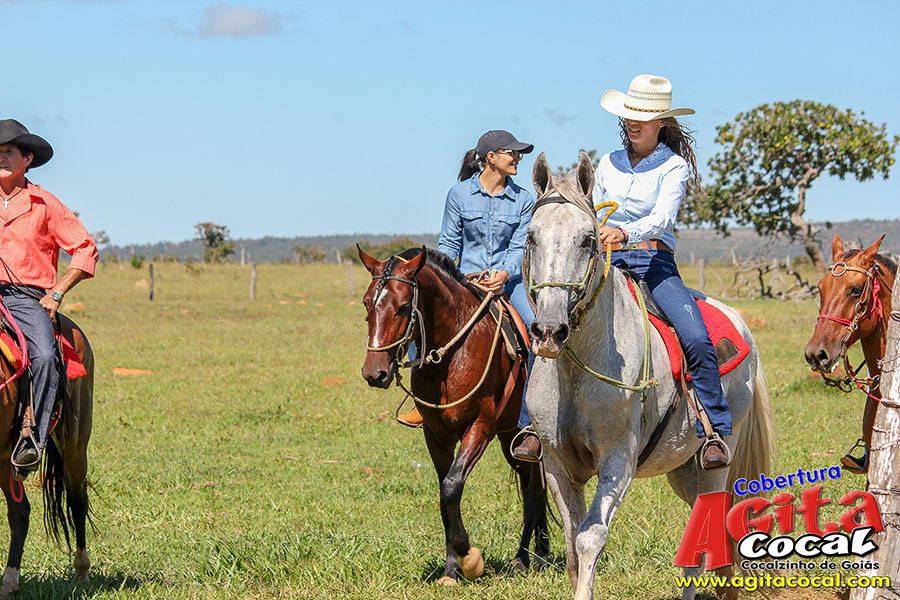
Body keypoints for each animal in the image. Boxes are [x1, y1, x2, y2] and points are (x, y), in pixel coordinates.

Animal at [358, 246, 549, 586]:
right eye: (367, 303)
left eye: (404, 306)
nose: (374, 373)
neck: (452, 355)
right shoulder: (436, 435)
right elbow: (446, 495)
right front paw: (451, 570)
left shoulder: (480, 427)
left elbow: (451, 488)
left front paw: (470, 559)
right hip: (509, 440)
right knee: (530, 487)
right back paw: (527, 557)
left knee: (536, 490)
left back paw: (534, 557)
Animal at [522, 152, 774, 600]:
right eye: (532, 236)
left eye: (588, 240)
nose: (550, 330)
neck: (577, 372)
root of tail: (739, 322)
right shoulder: (555, 464)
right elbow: (571, 545)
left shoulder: (618, 460)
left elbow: (589, 538)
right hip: (683, 467)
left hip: (717, 458)